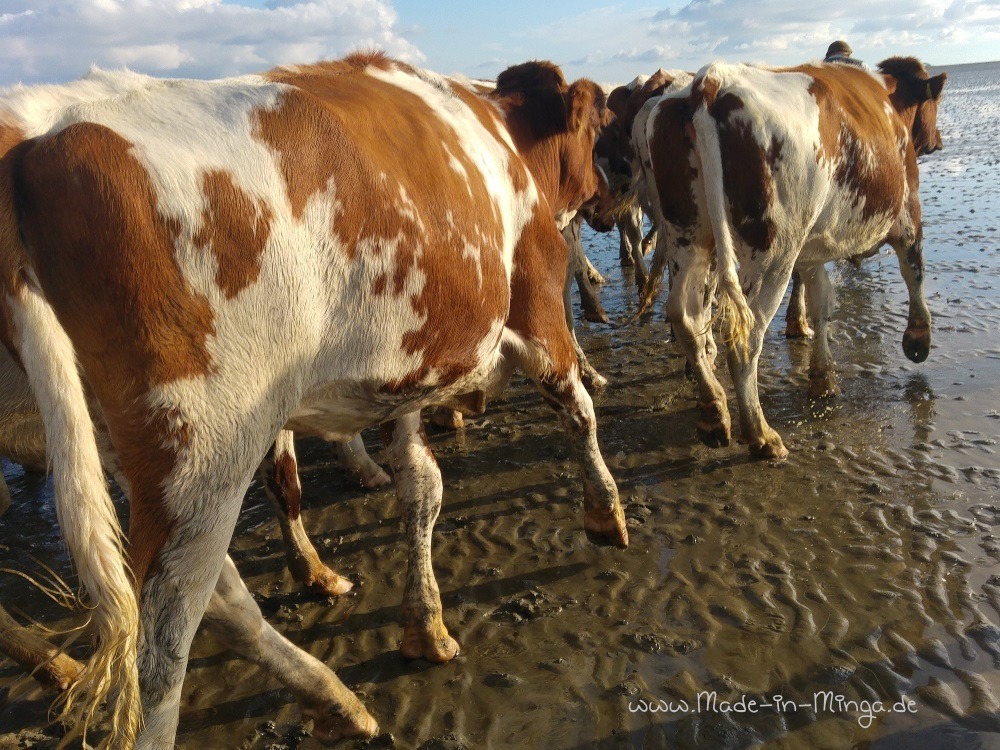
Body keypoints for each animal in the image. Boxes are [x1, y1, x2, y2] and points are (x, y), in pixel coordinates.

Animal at [0, 51, 624, 748]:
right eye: (599, 126)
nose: (614, 190)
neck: (505, 139)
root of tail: (37, 147)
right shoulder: (536, 304)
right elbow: (578, 410)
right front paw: (606, 513)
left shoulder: (406, 367)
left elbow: (421, 486)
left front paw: (424, 625)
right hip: (202, 456)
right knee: (159, 657)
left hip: (132, 450)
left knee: (221, 601)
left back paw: (334, 698)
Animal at [636, 55, 948, 458]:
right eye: (932, 105)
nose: (937, 141)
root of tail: (711, 81)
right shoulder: (908, 210)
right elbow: (914, 270)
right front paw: (918, 338)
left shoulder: (811, 250)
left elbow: (822, 302)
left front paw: (822, 377)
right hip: (774, 252)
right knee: (745, 336)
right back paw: (760, 434)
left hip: (688, 234)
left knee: (685, 315)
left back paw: (713, 413)